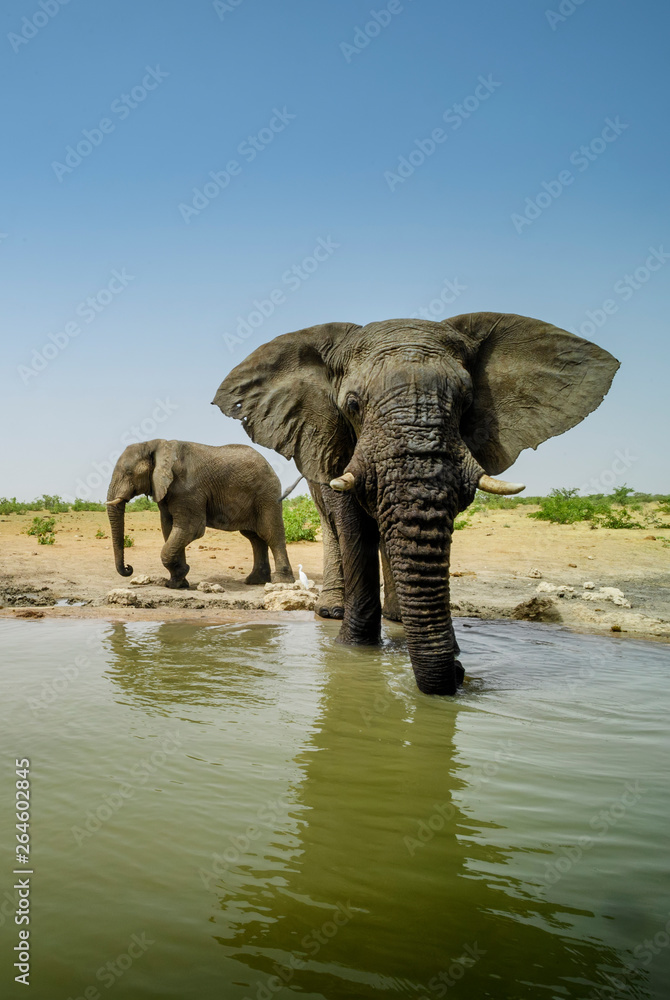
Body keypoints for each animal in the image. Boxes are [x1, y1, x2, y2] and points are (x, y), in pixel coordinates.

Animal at [106, 439, 297, 588]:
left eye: (129, 473)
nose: (129, 568)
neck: (155, 445)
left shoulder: (188, 489)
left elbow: (190, 529)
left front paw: (181, 573)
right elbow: (169, 528)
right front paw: (177, 583)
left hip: (267, 494)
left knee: (270, 533)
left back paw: (281, 582)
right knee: (255, 538)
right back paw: (255, 581)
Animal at [213, 313, 619, 696]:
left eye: (467, 402)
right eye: (352, 405)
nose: (460, 672)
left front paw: (447, 650)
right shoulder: (329, 435)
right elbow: (352, 523)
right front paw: (354, 651)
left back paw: (396, 617)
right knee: (334, 527)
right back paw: (333, 612)